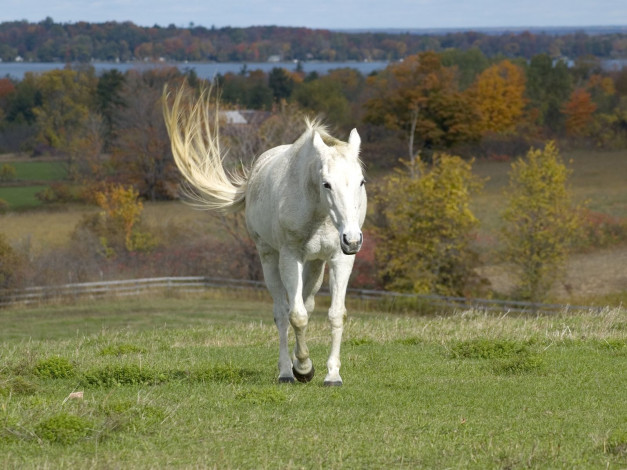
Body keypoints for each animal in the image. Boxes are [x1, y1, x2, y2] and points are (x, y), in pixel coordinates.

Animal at [164, 87, 366, 386]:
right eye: (326, 184)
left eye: (361, 181)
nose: (352, 239)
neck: (318, 211)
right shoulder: (289, 258)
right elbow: (295, 316)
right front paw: (303, 368)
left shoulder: (340, 259)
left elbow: (334, 315)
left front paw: (332, 374)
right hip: (269, 258)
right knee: (283, 312)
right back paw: (287, 372)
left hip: (315, 265)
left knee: (306, 303)